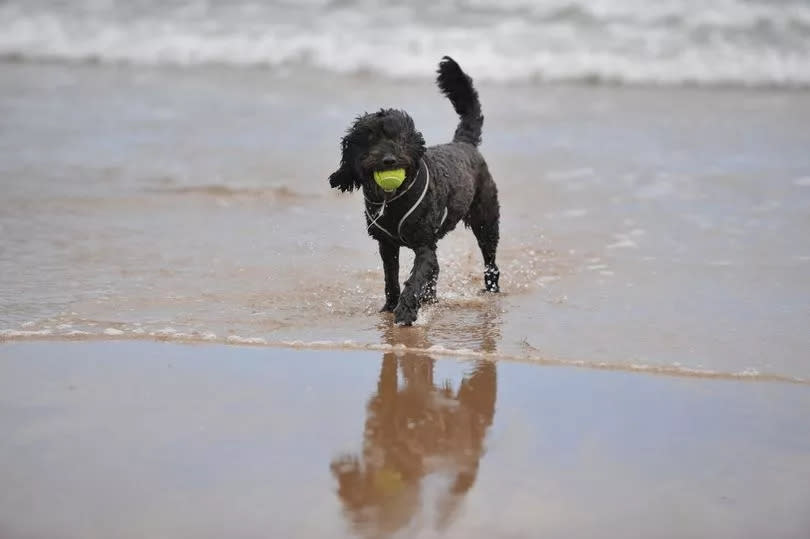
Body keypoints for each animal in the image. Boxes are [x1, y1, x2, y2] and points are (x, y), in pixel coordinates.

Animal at [330, 56, 498, 324]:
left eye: (400, 138)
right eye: (370, 139)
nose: (389, 160)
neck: (393, 200)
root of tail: (464, 144)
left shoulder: (425, 244)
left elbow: (416, 278)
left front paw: (406, 311)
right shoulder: (387, 244)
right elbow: (391, 278)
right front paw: (390, 306)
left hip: (486, 219)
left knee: (490, 261)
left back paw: (490, 290)